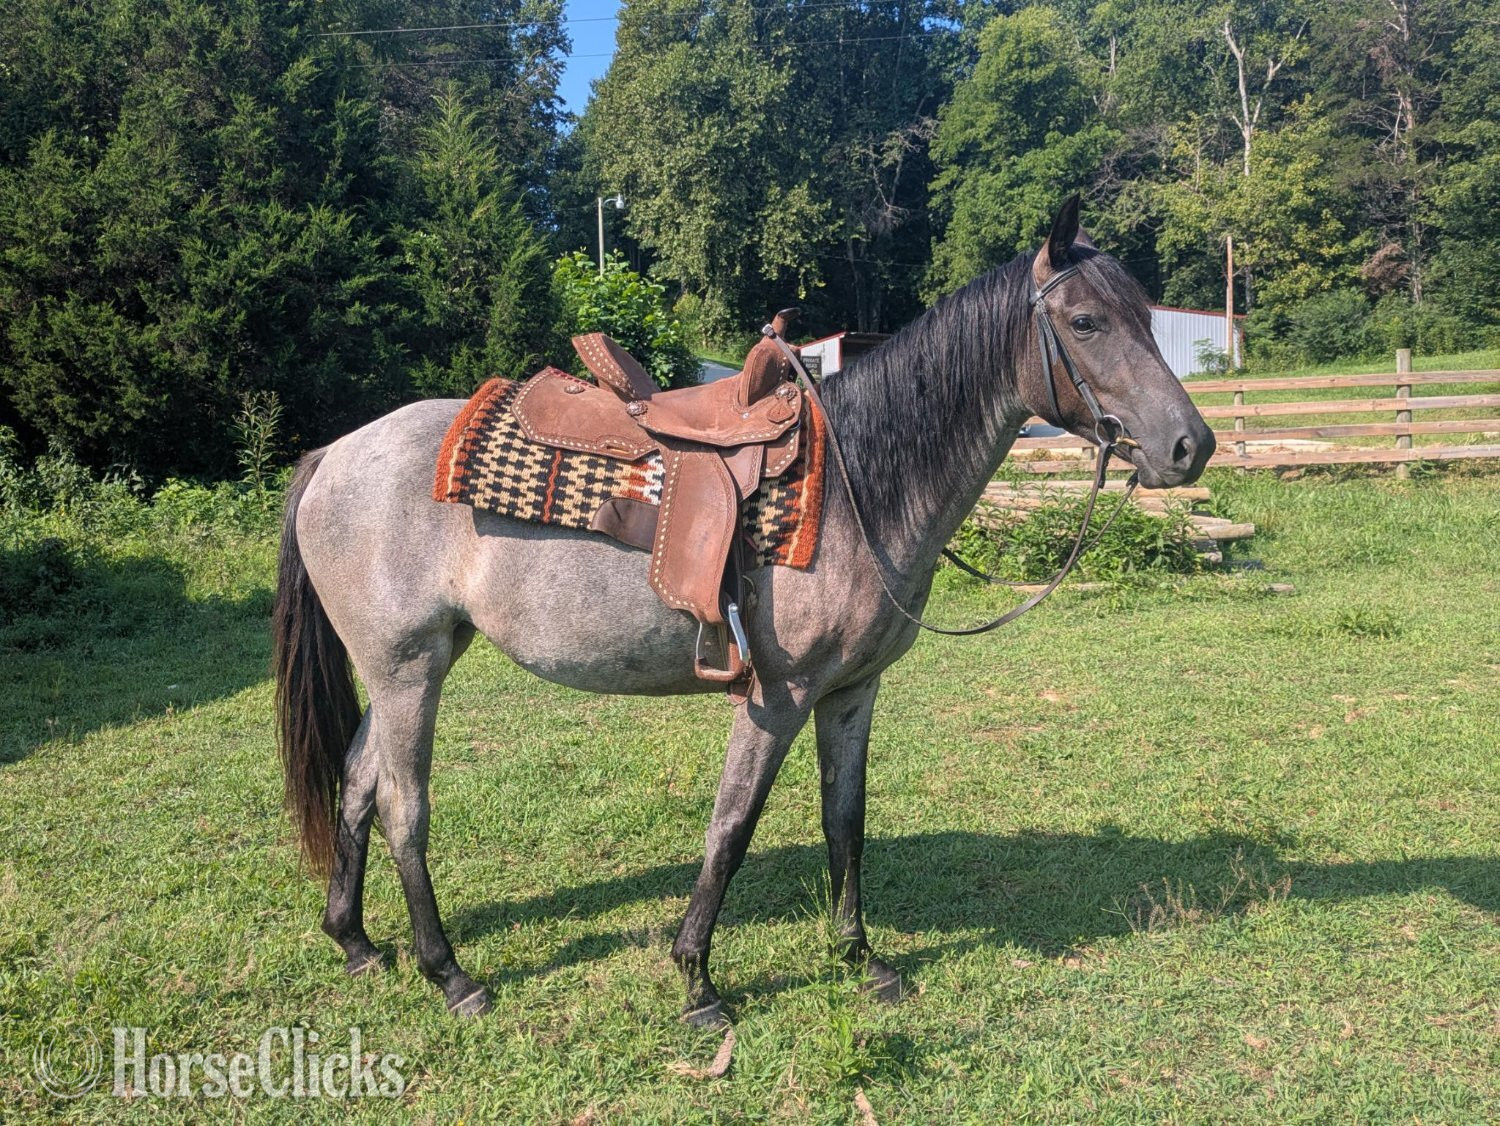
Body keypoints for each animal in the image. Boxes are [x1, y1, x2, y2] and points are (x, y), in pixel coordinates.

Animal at [272, 198, 1215, 1026]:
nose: (1190, 445)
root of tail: (334, 454)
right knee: (404, 808)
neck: (857, 489)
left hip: (409, 663)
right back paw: (451, 975)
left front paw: (860, 958)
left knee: (356, 785)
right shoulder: (779, 696)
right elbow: (732, 826)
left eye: (1144, 316)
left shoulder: (852, 694)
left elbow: (846, 821)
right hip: (407, 668)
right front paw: (697, 983)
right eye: (1086, 322)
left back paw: (355, 942)